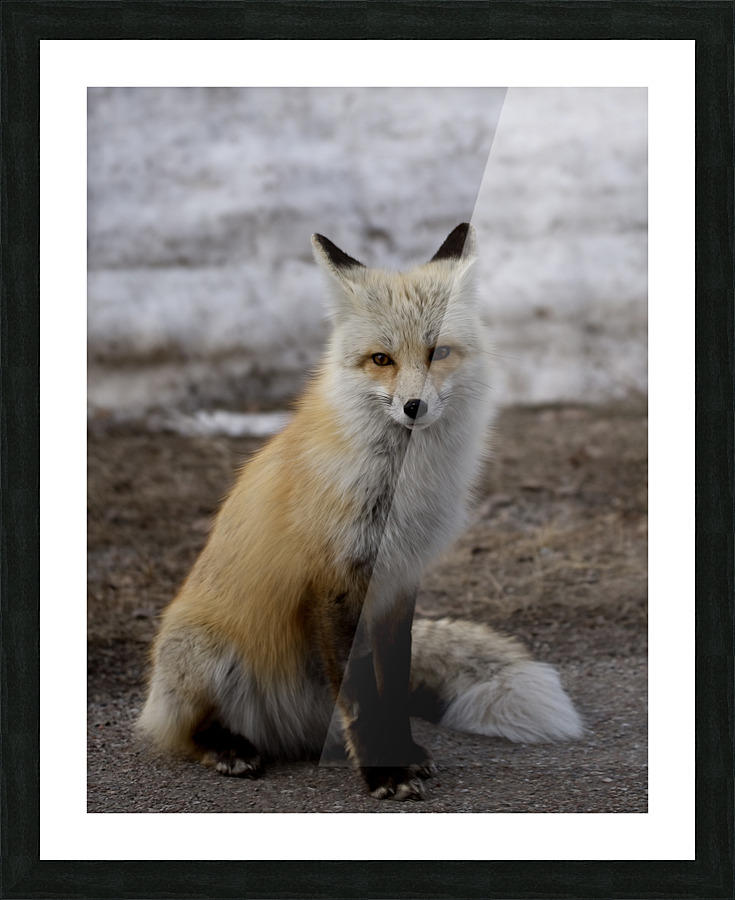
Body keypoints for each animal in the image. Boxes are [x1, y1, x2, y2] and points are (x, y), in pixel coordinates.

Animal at [138, 223, 583, 801]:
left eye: (439, 352)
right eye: (381, 359)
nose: (414, 407)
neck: (401, 487)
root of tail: (285, 733)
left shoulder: (398, 581)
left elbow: (391, 685)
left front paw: (403, 754)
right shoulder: (336, 578)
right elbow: (362, 699)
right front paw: (383, 773)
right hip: (206, 651)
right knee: (181, 730)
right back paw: (228, 748)